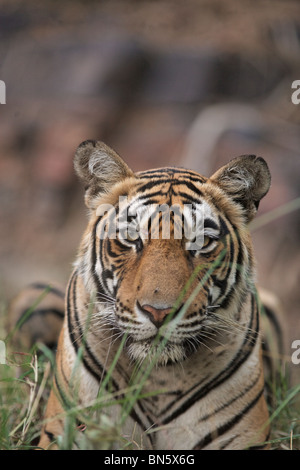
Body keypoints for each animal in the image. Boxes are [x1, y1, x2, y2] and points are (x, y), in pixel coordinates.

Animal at [37, 139, 278, 448]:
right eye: (130, 237)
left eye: (203, 241)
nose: (159, 312)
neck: (158, 378)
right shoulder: (65, 430)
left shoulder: (244, 437)